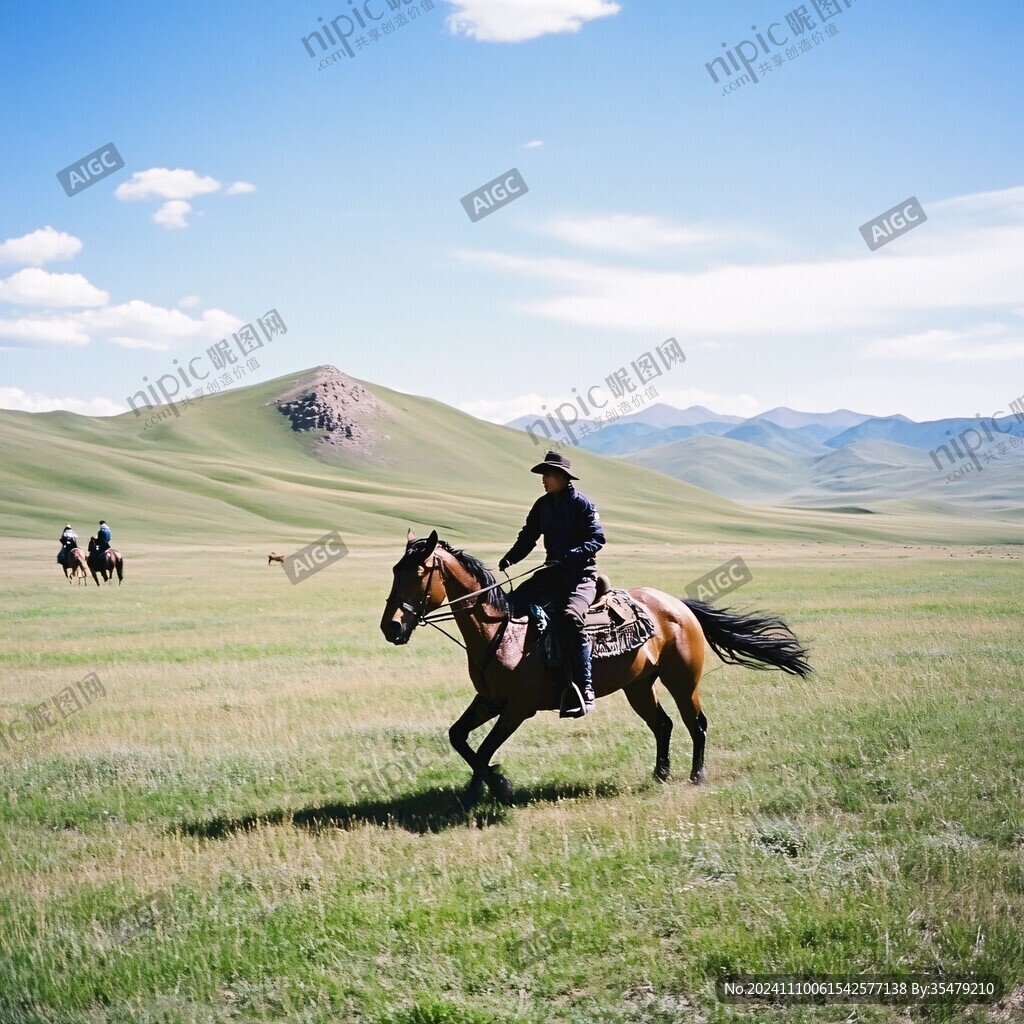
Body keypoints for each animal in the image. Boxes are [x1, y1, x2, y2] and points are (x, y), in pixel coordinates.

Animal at [380, 532, 811, 802]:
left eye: (418, 572)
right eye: (393, 571)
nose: (391, 627)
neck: (502, 630)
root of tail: (679, 605)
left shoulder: (517, 709)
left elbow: (485, 748)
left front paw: (498, 786)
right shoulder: (488, 700)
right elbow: (460, 739)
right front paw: (477, 789)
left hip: (682, 681)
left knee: (697, 724)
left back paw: (696, 776)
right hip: (639, 686)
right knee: (664, 725)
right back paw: (660, 774)